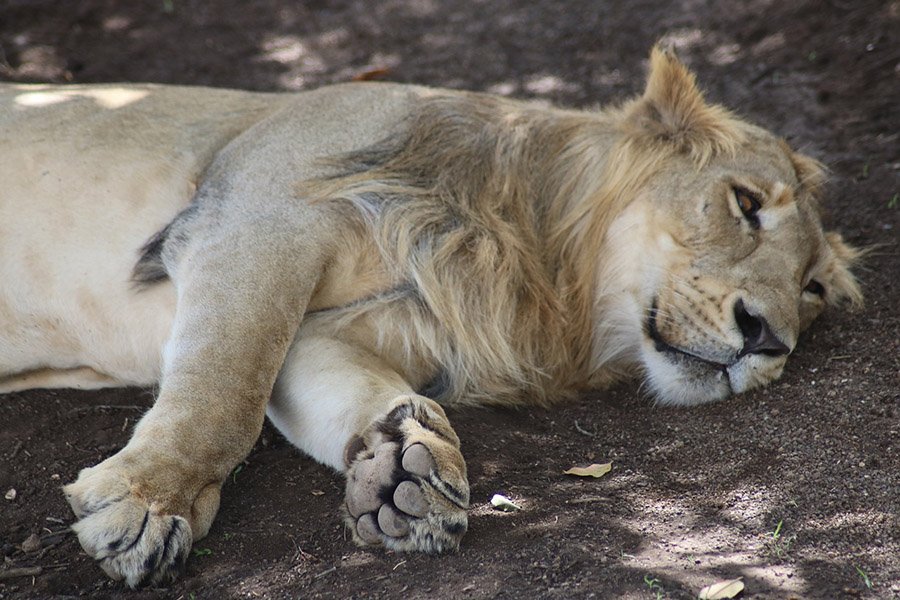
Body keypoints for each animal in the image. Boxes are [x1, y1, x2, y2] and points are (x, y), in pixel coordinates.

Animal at [0, 47, 861, 587]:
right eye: (745, 204)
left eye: (814, 290)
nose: (769, 337)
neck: (536, 265)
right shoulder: (258, 215)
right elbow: (225, 389)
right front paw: (149, 504)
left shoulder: (334, 331)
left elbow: (324, 384)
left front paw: (399, 467)